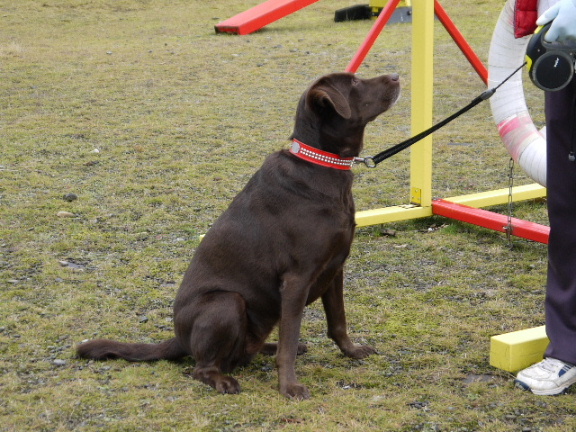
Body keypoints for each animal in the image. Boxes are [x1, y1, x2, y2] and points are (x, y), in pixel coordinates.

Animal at [76, 72, 400, 400]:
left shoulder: (335, 268)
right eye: (354, 84)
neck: (320, 164)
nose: (396, 75)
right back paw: (223, 380)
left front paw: (352, 351)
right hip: (226, 303)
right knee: (202, 367)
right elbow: (290, 340)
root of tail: (180, 339)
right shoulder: (296, 279)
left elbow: (338, 322)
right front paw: (289, 386)